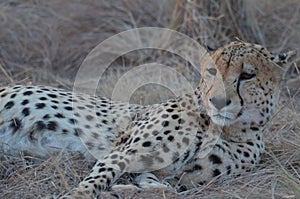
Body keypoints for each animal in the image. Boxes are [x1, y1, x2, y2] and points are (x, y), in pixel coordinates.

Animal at [0, 41, 294, 198]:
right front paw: (79, 194)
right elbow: (97, 179)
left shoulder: (171, 175)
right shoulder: (123, 151)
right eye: (212, 71)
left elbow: (165, 189)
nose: (219, 102)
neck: (223, 129)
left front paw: (121, 192)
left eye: (248, 75)